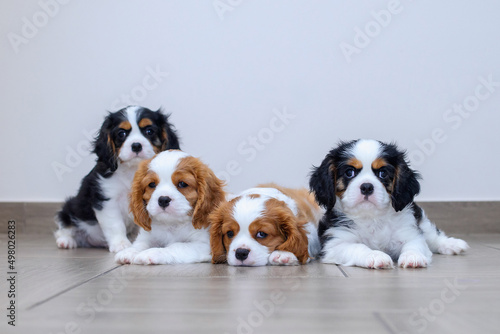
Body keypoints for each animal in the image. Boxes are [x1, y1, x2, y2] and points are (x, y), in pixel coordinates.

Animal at [54, 105, 180, 252]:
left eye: (149, 131)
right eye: (121, 134)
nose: (136, 145)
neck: (132, 170)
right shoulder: (107, 200)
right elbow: (115, 225)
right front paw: (121, 244)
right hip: (71, 207)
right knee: (64, 227)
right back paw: (66, 241)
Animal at [308, 138, 468, 268]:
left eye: (383, 173)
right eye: (349, 172)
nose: (367, 187)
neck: (372, 217)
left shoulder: (410, 232)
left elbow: (414, 245)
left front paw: (412, 257)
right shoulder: (336, 244)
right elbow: (358, 247)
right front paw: (375, 255)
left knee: (433, 236)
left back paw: (452, 244)